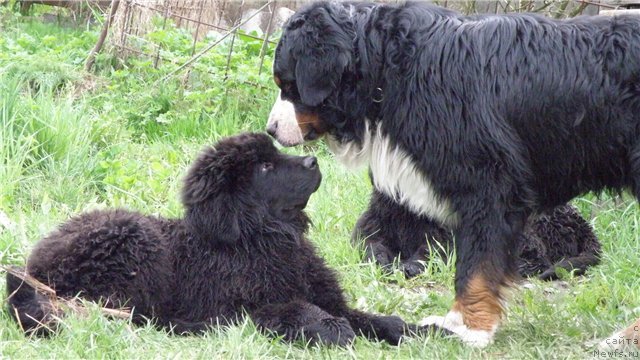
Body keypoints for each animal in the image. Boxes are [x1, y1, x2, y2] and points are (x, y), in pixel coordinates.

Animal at [8, 133, 424, 346]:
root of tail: (34, 268)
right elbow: (300, 309)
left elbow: (368, 316)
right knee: (127, 313)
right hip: (133, 239)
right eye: (265, 167)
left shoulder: (324, 293)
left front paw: (415, 330)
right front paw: (330, 328)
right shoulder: (247, 305)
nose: (312, 161)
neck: (262, 239)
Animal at [268, 1, 640, 348]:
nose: (270, 129)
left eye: (287, 83)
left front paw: (468, 328)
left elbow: (475, 265)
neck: (392, 69)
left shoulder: (486, 185)